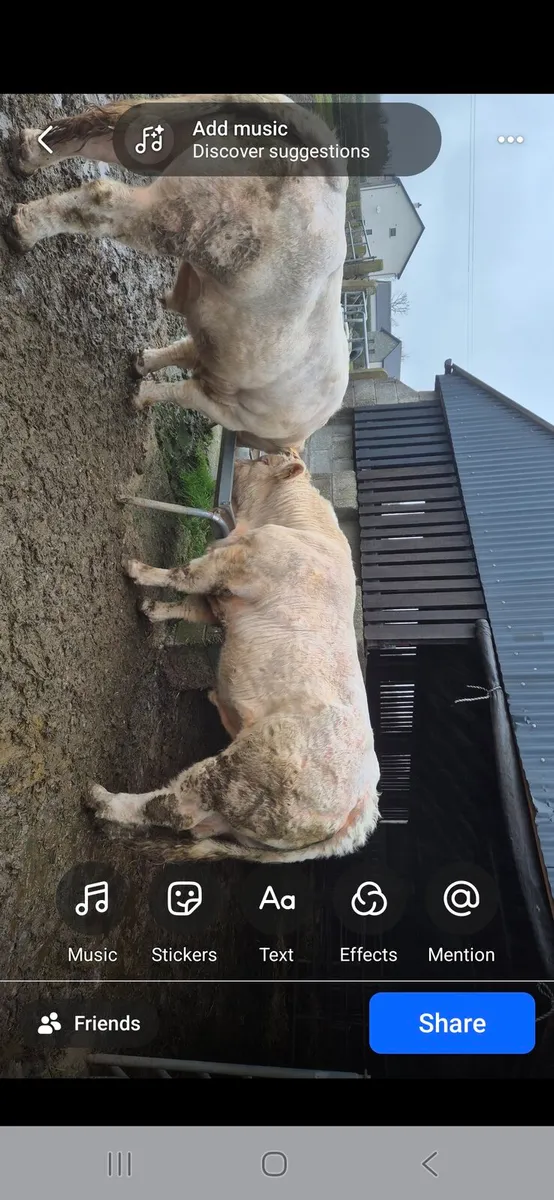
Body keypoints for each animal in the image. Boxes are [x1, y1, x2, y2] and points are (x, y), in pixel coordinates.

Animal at [6, 94, 350, 454]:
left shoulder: (209, 346)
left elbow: (180, 350)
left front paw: (143, 361)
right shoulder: (230, 411)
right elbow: (182, 393)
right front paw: (142, 396)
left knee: (107, 136)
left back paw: (26, 154)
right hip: (187, 220)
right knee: (105, 200)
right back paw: (24, 228)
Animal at [87, 452, 380, 861]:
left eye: (264, 458)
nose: (240, 458)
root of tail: (360, 808)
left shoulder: (234, 563)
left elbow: (184, 575)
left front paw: (137, 570)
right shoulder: (223, 591)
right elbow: (191, 607)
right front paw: (153, 610)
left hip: (243, 777)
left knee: (175, 806)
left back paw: (102, 799)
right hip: (245, 821)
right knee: (194, 825)